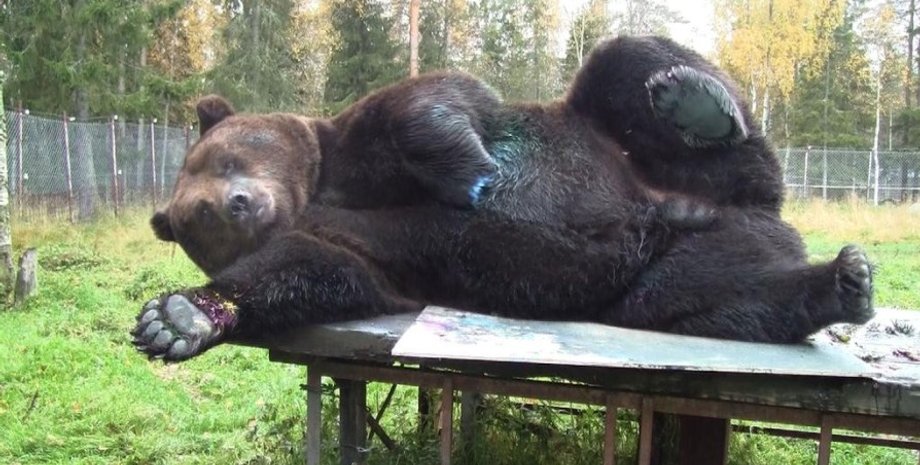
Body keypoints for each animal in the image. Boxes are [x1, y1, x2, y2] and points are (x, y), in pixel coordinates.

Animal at [132, 36, 874, 361]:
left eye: (229, 156)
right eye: (197, 214)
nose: (237, 203)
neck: (319, 185)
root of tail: (750, 207)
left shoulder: (362, 136)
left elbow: (432, 103)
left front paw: (475, 175)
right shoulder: (371, 248)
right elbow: (313, 269)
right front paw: (177, 317)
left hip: (643, 149)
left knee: (628, 64)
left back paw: (692, 101)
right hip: (665, 269)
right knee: (721, 297)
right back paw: (842, 281)